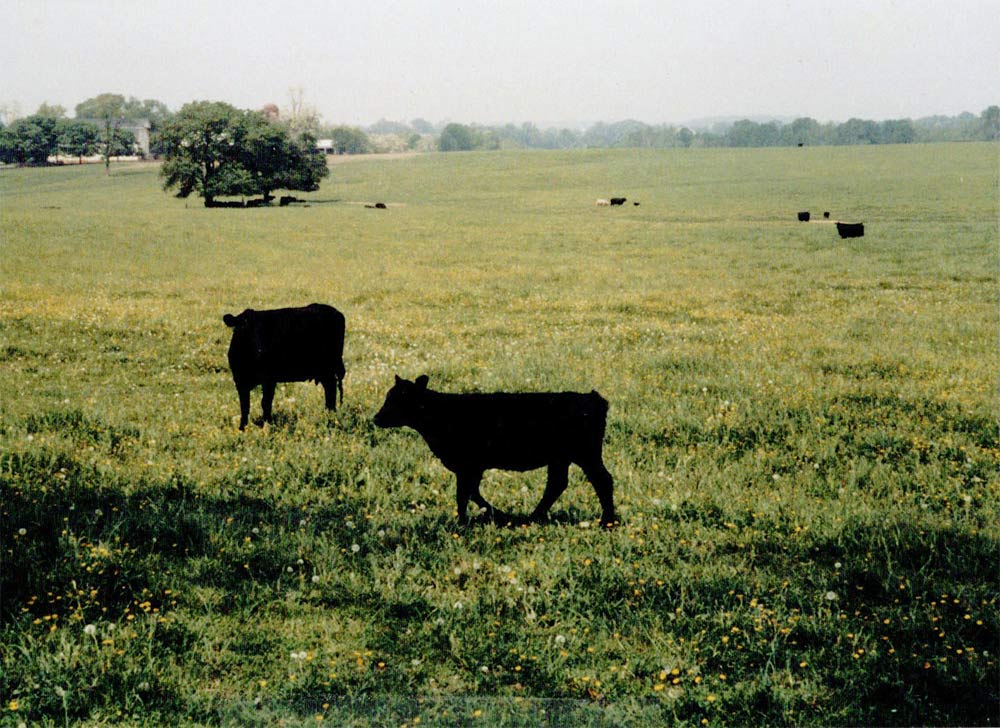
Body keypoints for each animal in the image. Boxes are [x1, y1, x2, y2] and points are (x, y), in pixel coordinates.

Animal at [221, 302, 346, 430]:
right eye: (243, 327)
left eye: (264, 330)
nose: (261, 350)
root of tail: (336, 312)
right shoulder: (240, 381)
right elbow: (244, 405)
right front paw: (242, 427)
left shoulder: (269, 379)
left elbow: (265, 402)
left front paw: (267, 424)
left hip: (329, 369)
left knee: (331, 390)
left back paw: (330, 417)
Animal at [376, 376, 616, 528]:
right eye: (388, 397)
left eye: (401, 398)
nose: (376, 418)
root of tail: (593, 397)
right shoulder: (470, 467)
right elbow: (470, 493)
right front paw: (494, 515)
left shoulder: (468, 464)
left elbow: (464, 494)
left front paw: (463, 523)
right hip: (561, 457)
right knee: (557, 484)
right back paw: (533, 517)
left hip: (586, 453)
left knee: (603, 480)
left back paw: (608, 522)